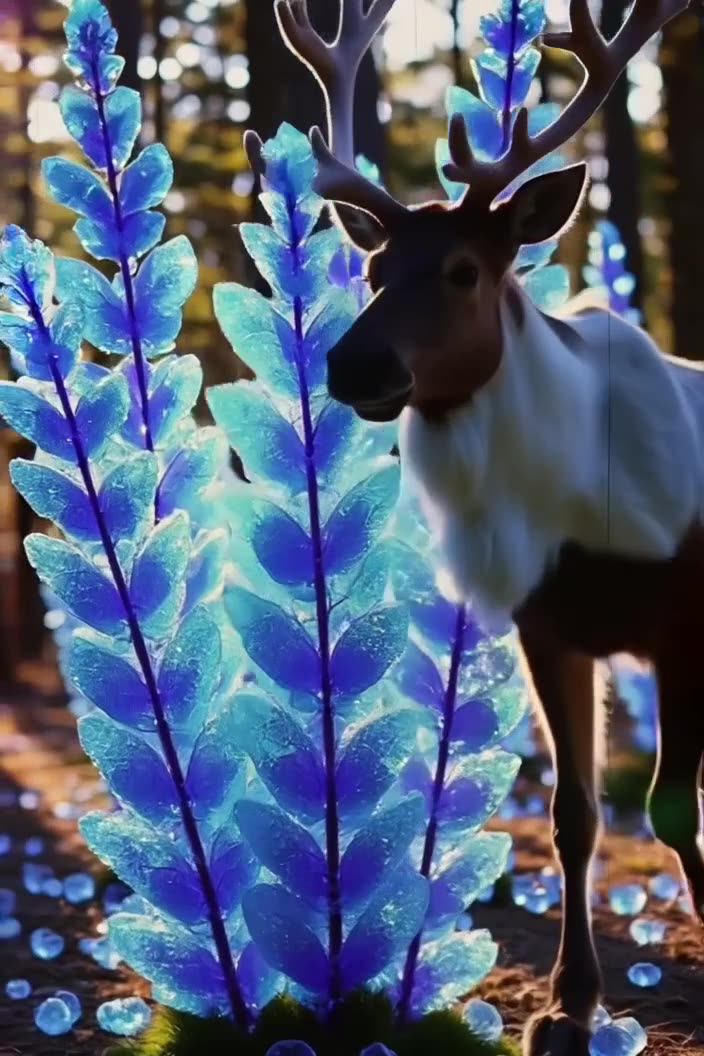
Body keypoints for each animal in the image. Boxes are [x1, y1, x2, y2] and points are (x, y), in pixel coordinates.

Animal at [261, 1, 704, 1054]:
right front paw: (567, 1004)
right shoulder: (552, 627)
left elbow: (671, 809)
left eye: (465, 269)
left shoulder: (682, 622)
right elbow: (577, 812)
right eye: (375, 264)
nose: (354, 366)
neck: (580, 504)